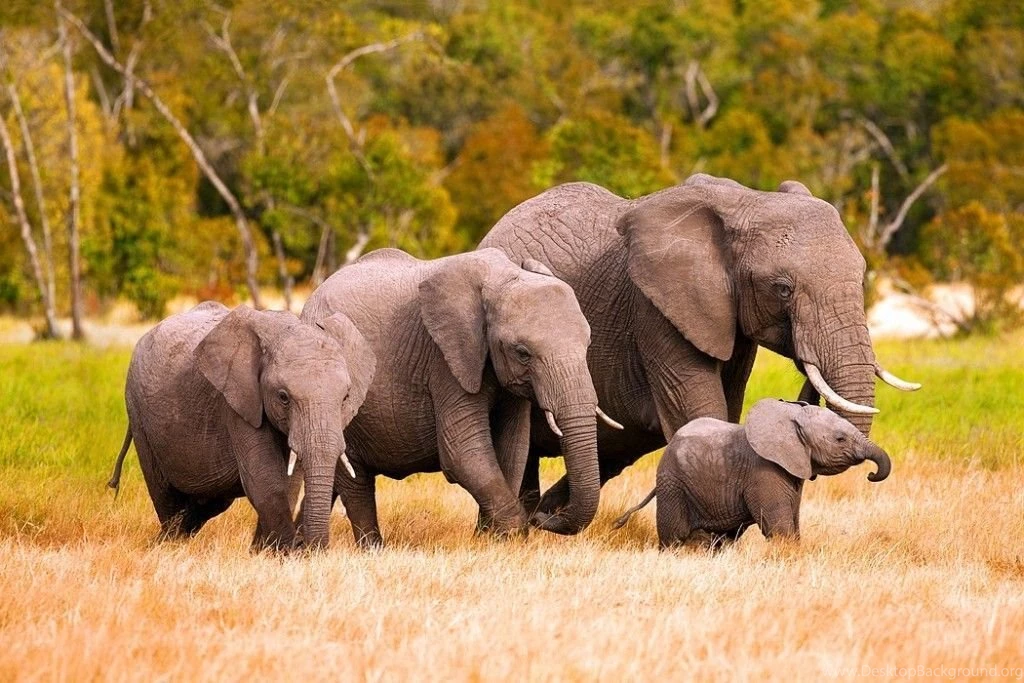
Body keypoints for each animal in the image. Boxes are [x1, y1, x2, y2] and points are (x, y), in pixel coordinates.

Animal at [107, 301, 375, 551]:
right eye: (283, 397)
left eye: (346, 397)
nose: (309, 546)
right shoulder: (237, 401)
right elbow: (264, 480)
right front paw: (286, 553)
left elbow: (289, 482)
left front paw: (264, 552)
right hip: (138, 413)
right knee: (166, 498)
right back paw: (167, 545)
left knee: (206, 504)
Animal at [299, 247, 615, 547]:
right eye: (522, 353)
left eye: (587, 342)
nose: (542, 517)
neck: (500, 277)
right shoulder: (445, 360)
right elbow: (464, 452)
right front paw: (510, 539)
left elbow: (513, 448)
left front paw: (489, 541)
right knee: (356, 485)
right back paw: (370, 550)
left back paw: (301, 547)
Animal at [478, 173, 917, 516]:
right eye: (783, 289)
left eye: (862, 275)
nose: (873, 473)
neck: (748, 201)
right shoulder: (656, 310)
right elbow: (703, 410)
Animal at [612, 399, 891, 548]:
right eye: (840, 439)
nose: (871, 475)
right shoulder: (763, 471)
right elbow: (779, 529)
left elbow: (794, 521)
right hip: (673, 483)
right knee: (675, 536)